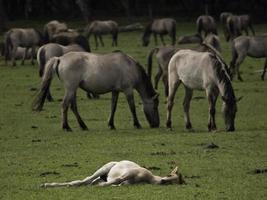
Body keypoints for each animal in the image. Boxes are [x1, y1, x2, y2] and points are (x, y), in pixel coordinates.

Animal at [32, 50, 160, 130]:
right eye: (155, 107)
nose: (156, 124)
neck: (129, 66)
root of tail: (60, 58)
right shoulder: (128, 90)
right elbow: (132, 108)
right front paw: (137, 124)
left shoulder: (115, 91)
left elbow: (113, 107)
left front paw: (111, 124)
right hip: (70, 88)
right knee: (64, 105)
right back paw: (66, 127)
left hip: (73, 89)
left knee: (73, 106)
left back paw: (83, 126)